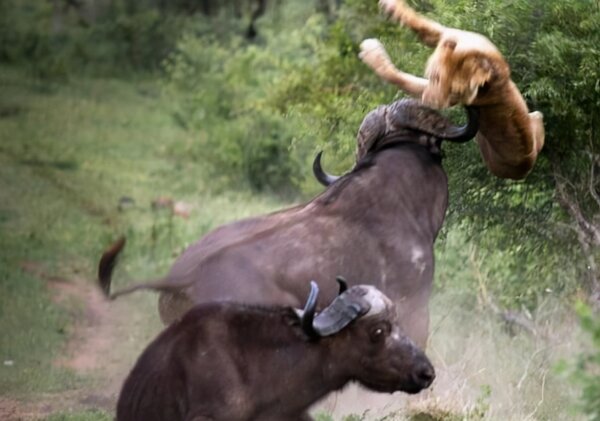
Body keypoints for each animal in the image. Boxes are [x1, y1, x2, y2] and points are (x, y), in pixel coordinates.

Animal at [358, 0, 548, 179]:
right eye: (435, 77)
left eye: (455, 92)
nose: (429, 101)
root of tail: (527, 165)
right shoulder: (449, 33)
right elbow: (420, 24)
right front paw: (392, 7)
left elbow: (400, 78)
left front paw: (371, 53)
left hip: (531, 122)